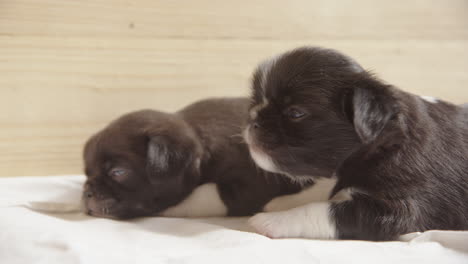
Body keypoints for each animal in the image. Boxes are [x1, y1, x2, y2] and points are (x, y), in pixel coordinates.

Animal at [245, 47, 468, 241]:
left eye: (295, 113)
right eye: (256, 102)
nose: (252, 120)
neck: (381, 143)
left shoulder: (396, 210)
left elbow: (324, 210)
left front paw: (271, 221)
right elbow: (324, 190)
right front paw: (286, 202)